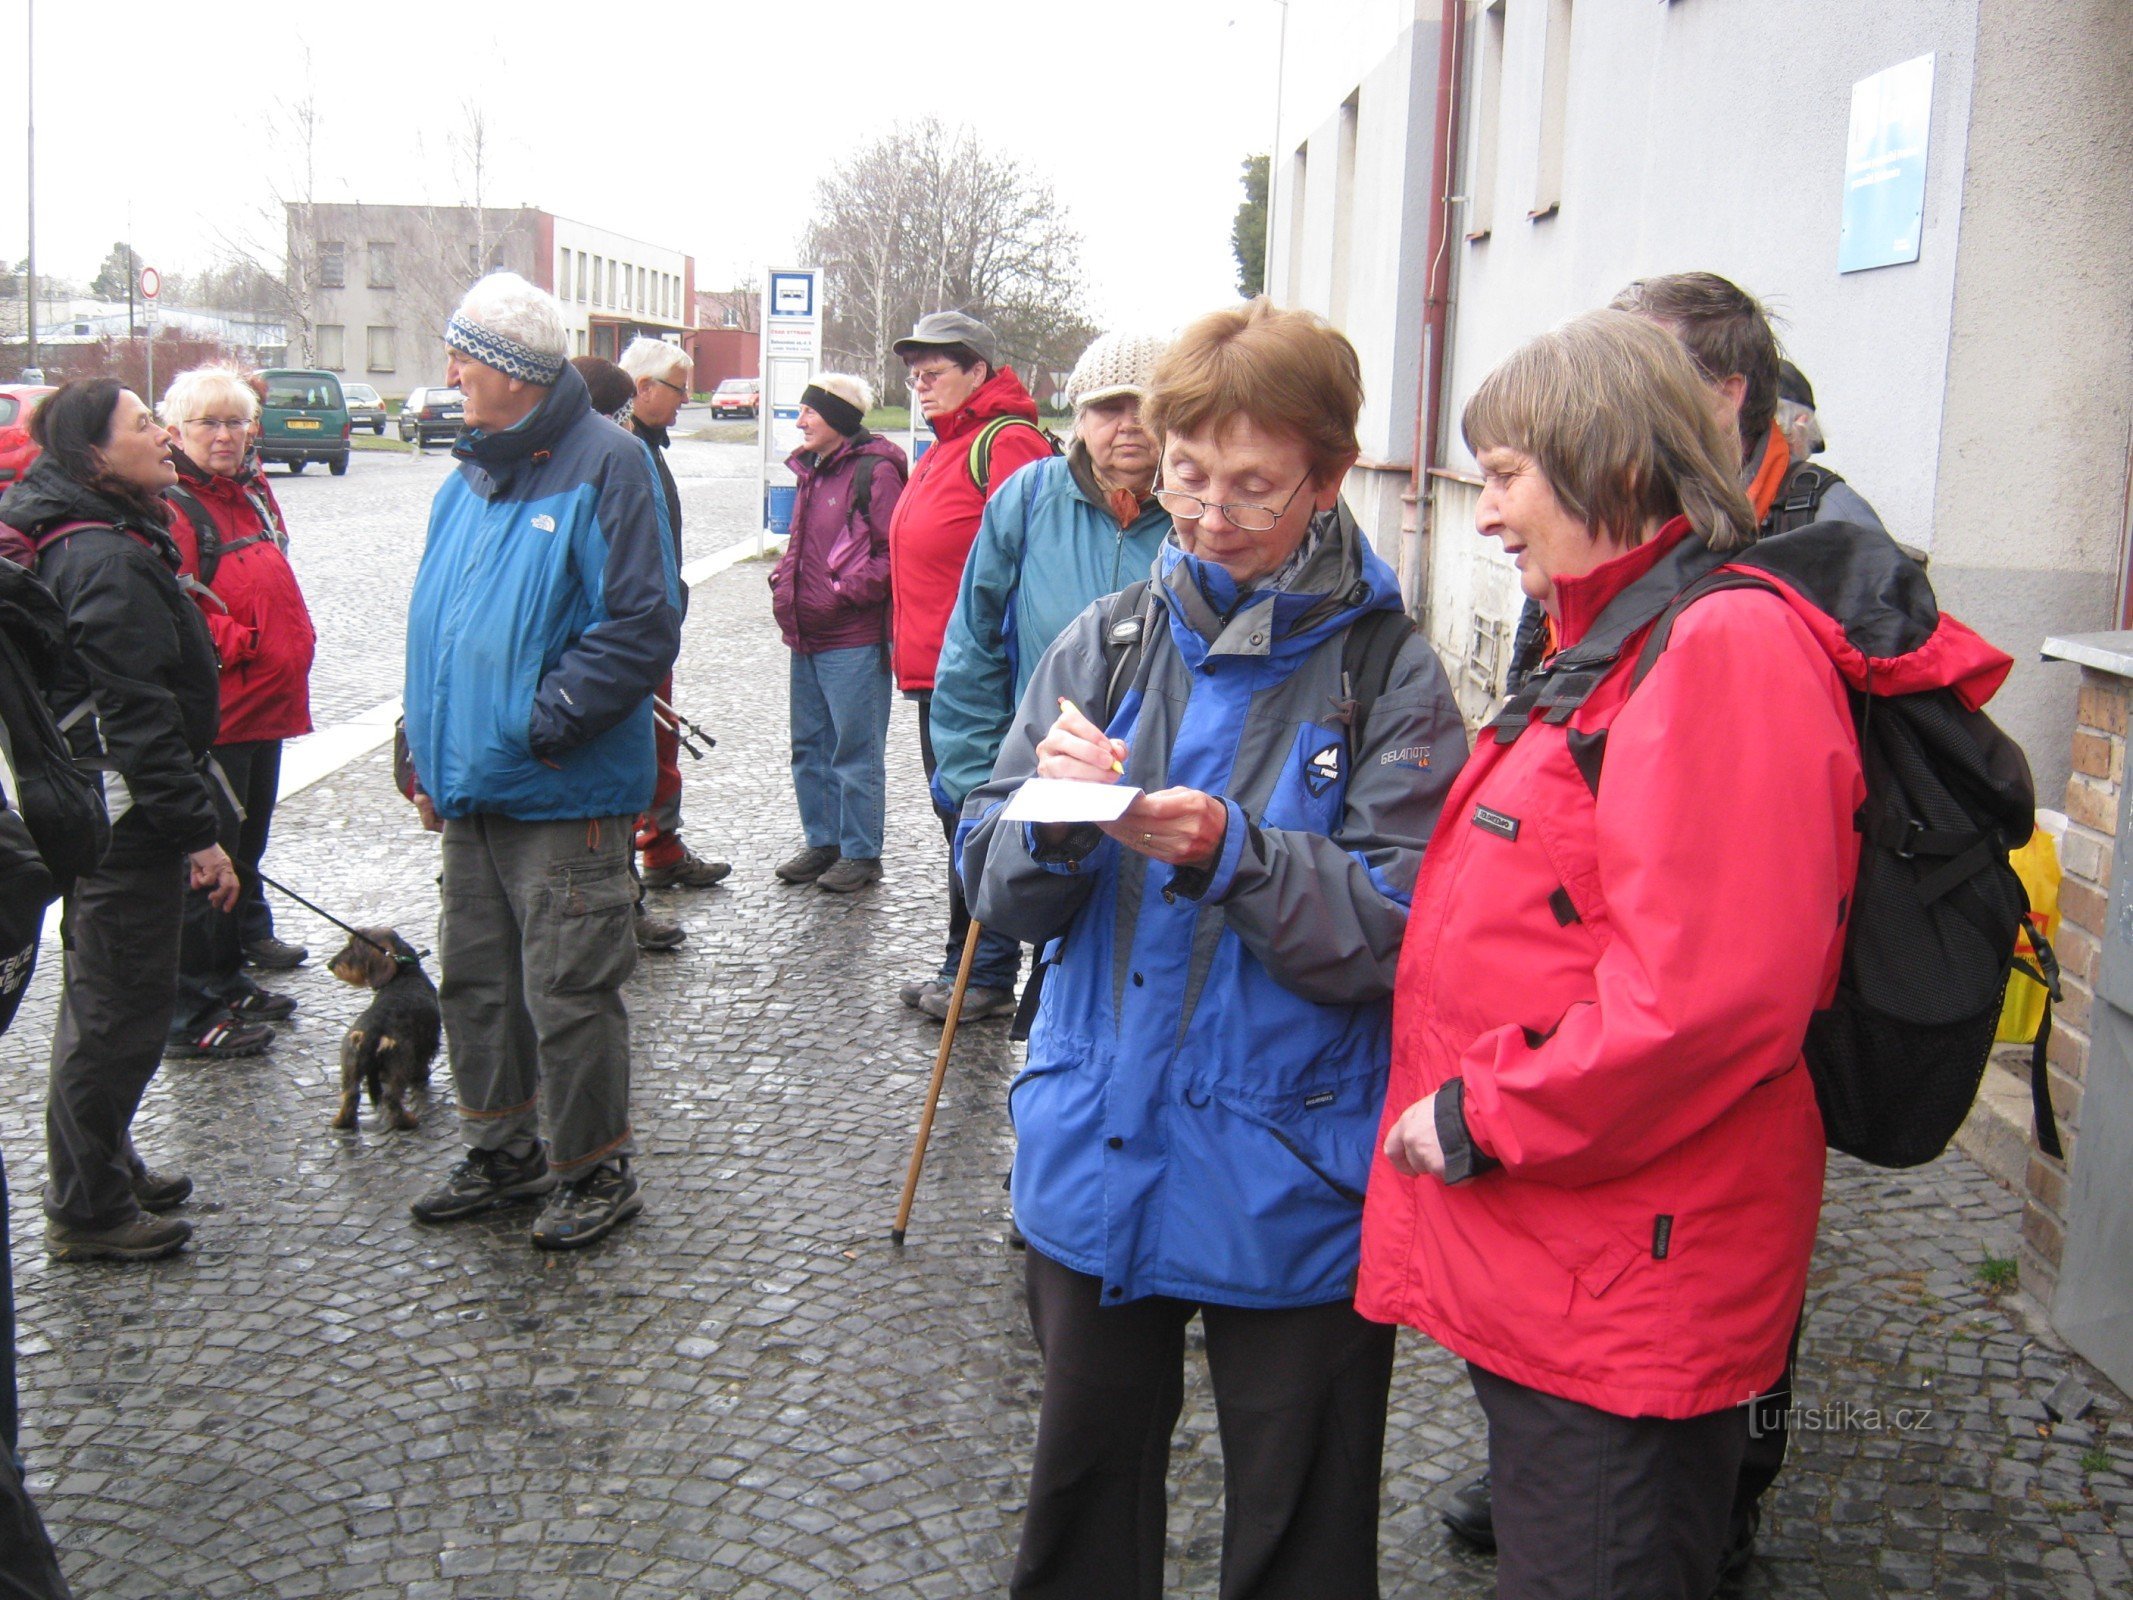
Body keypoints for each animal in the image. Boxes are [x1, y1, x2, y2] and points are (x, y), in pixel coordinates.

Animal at [324, 934, 437, 1134]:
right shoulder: (427, 1043)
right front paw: (422, 1077)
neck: (405, 974)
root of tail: (372, 1032)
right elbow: (422, 1065)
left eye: (354, 947)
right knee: (391, 1097)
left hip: (350, 1064)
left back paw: (342, 1121)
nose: (332, 964)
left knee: (351, 1095)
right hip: (400, 1063)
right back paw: (406, 1122)